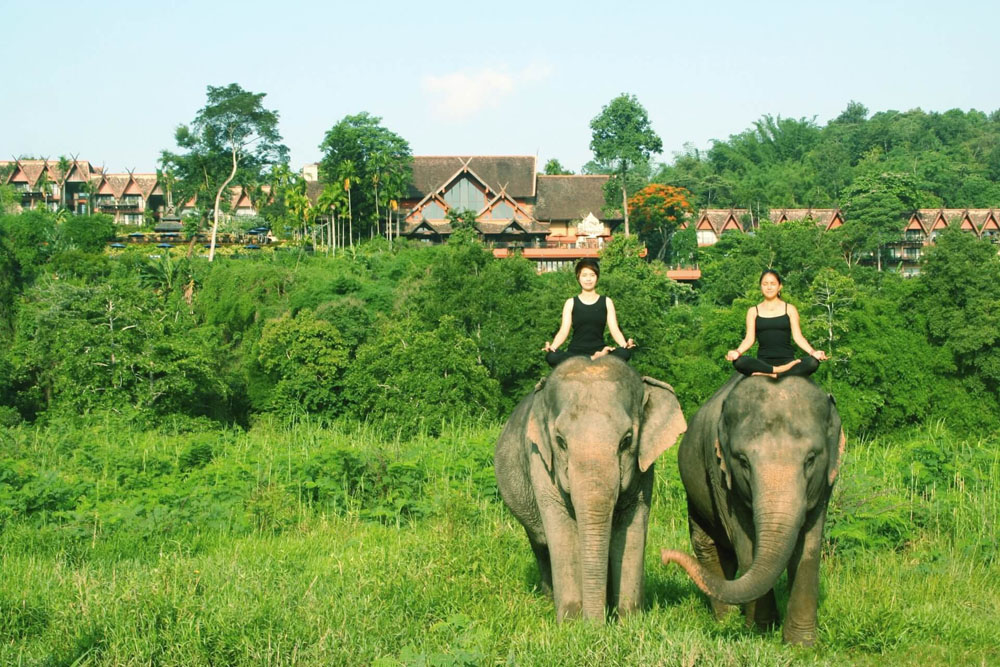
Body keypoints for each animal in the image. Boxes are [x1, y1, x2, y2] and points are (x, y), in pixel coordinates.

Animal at [494, 358, 688, 624]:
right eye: (560, 441)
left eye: (627, 440)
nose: (596, 627)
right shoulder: (540, 461)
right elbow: (562, 534)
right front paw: (572, 624)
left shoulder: (644, 468)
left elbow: (632, 528)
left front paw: (629, 622)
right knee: (540, 544)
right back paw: (548, 598)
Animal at [664, 374, 844, 644]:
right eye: (743, 461)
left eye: (811, 459)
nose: (664, 555)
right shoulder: (721, 475)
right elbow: (746, 543)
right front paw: (761, 632)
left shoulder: (825, 482)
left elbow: (809, 547)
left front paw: (801, 645)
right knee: (708, 545)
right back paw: (726, 619)